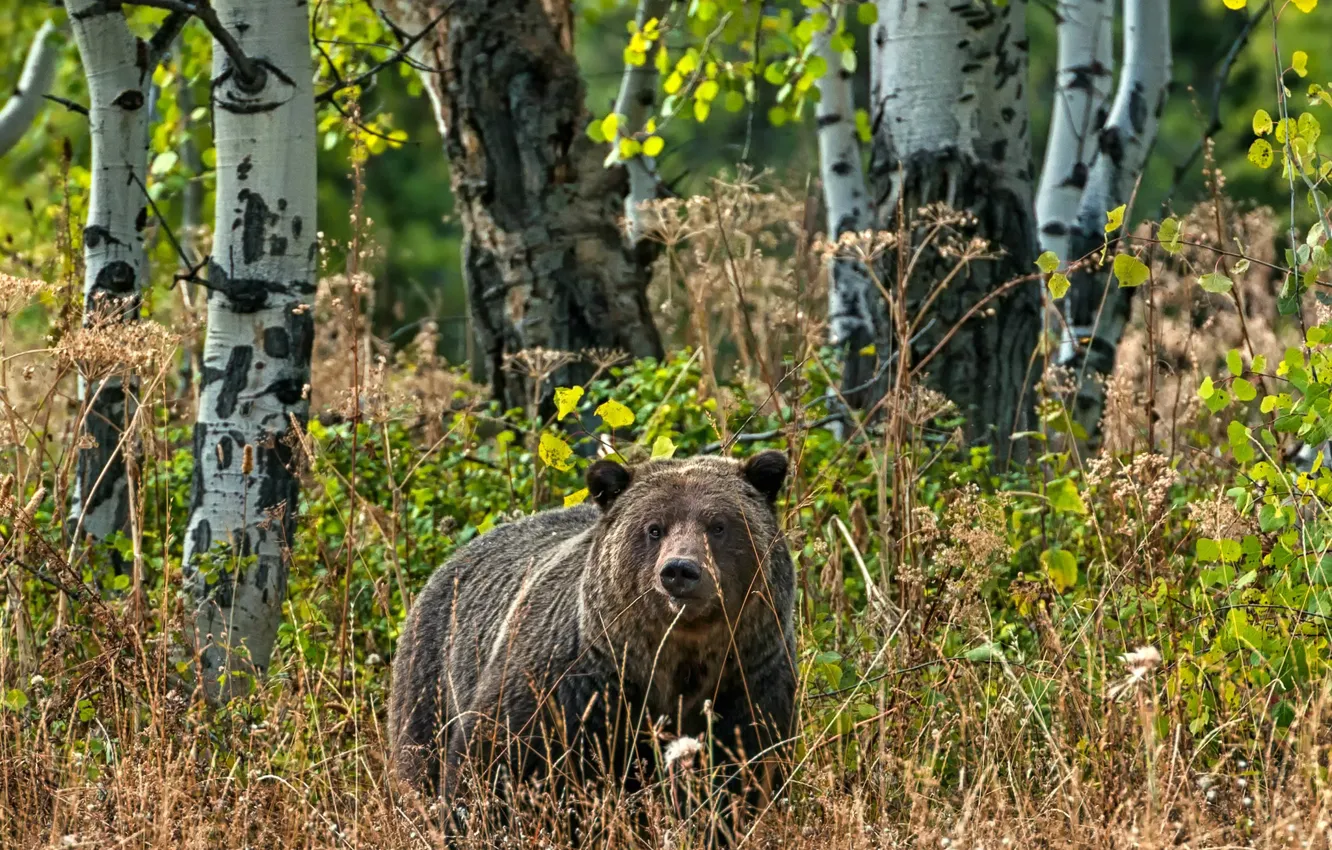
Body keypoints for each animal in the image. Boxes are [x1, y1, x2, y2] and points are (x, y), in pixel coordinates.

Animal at [387, 449, 796, 834]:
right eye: (654, 528)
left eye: (718, 525)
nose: (680, 570)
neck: (673, 659)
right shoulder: (570, 681)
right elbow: (494, 761)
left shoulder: (748, 681)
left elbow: (741, 776)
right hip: (431, 678)